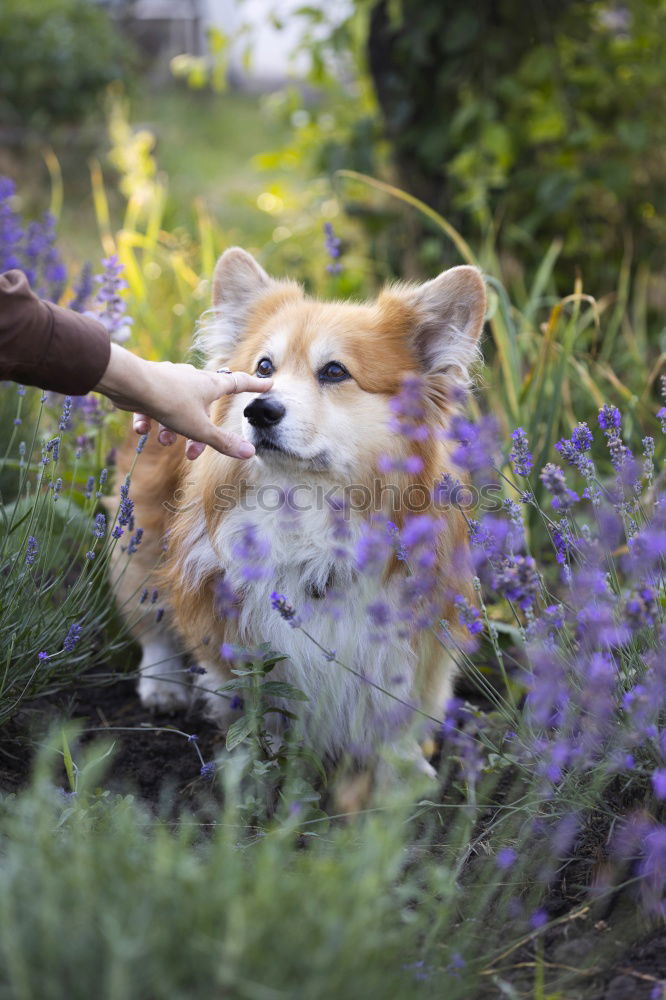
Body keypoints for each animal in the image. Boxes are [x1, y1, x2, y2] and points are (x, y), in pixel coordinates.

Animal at [107, 246, 482, 776]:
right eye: (264, 368)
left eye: (335, 372)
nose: (258, 411)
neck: (307, 510)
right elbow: (247, 699)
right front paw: (254, 762)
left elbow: (397, 706)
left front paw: (403, 773)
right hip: (142, 536)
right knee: (151, 616)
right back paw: (163, 685)